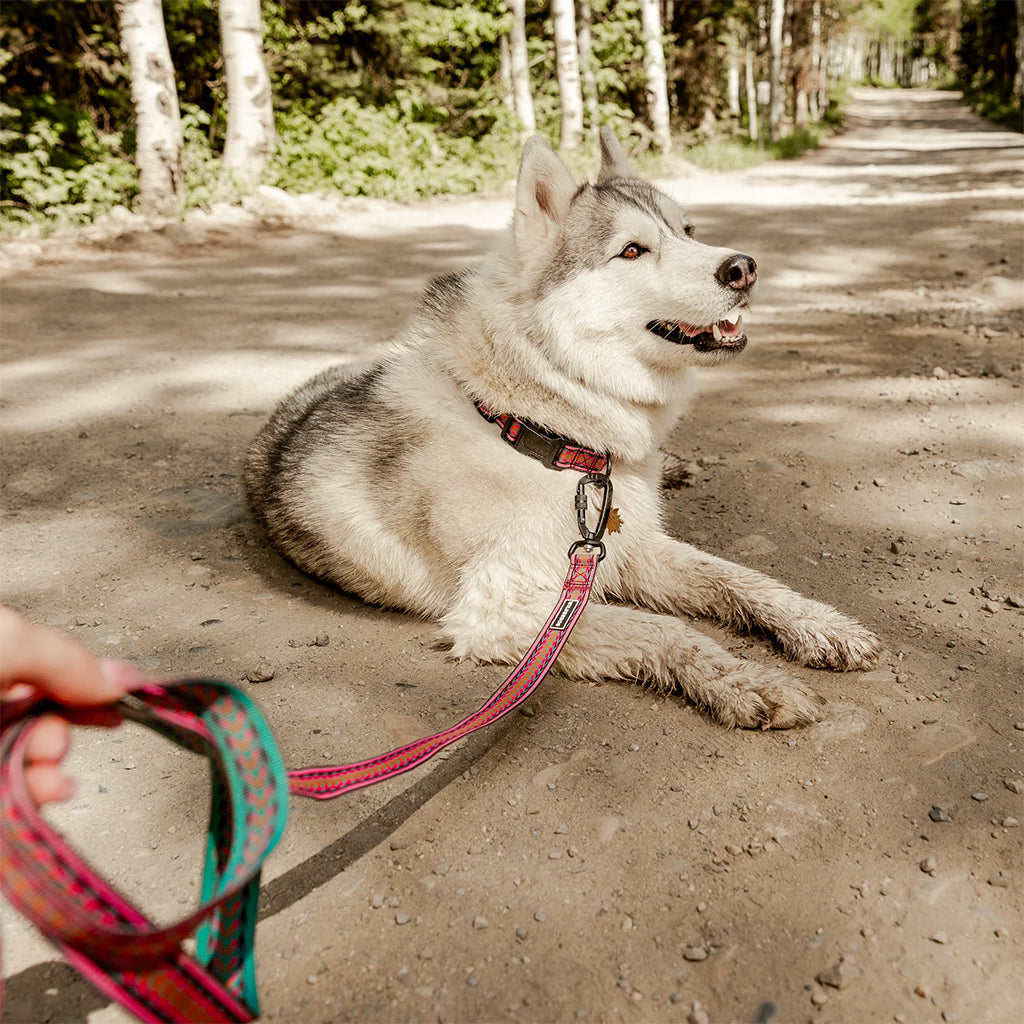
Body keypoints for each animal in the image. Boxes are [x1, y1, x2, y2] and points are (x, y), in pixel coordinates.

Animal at [247, 130, 880, 729]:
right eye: (632, 250)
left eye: (689, 231)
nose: (743, 267)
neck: (538, 431)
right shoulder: (507, 609)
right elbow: (667, 631)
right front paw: (747, 681)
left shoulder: (631, 549)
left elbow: (740, 579)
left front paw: (819, 625)